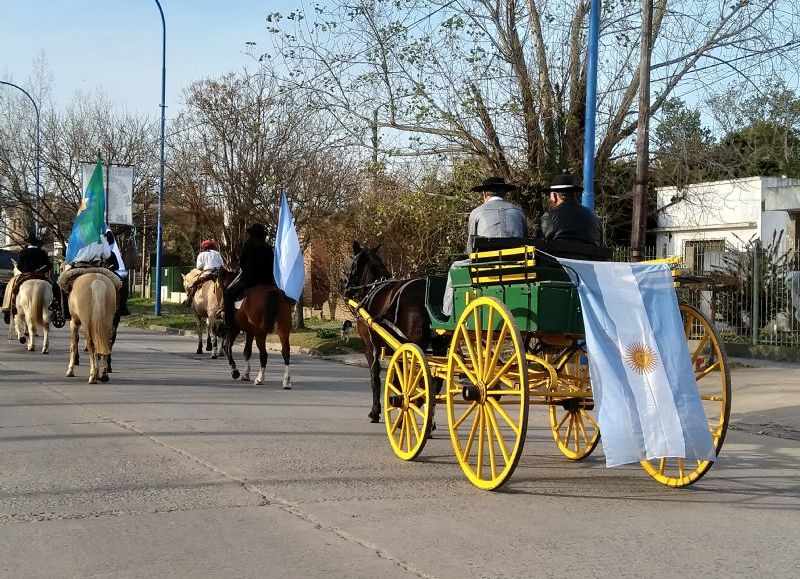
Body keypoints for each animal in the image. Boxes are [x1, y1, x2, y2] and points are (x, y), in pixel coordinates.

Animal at [342, 242, 446, 424]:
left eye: (351, 264)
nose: (346, 288)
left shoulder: (370, 347)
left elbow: (376, 378)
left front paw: (375, 411)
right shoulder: (394, 348)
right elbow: (397, 378)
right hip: (440, 345)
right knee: (436, 381)